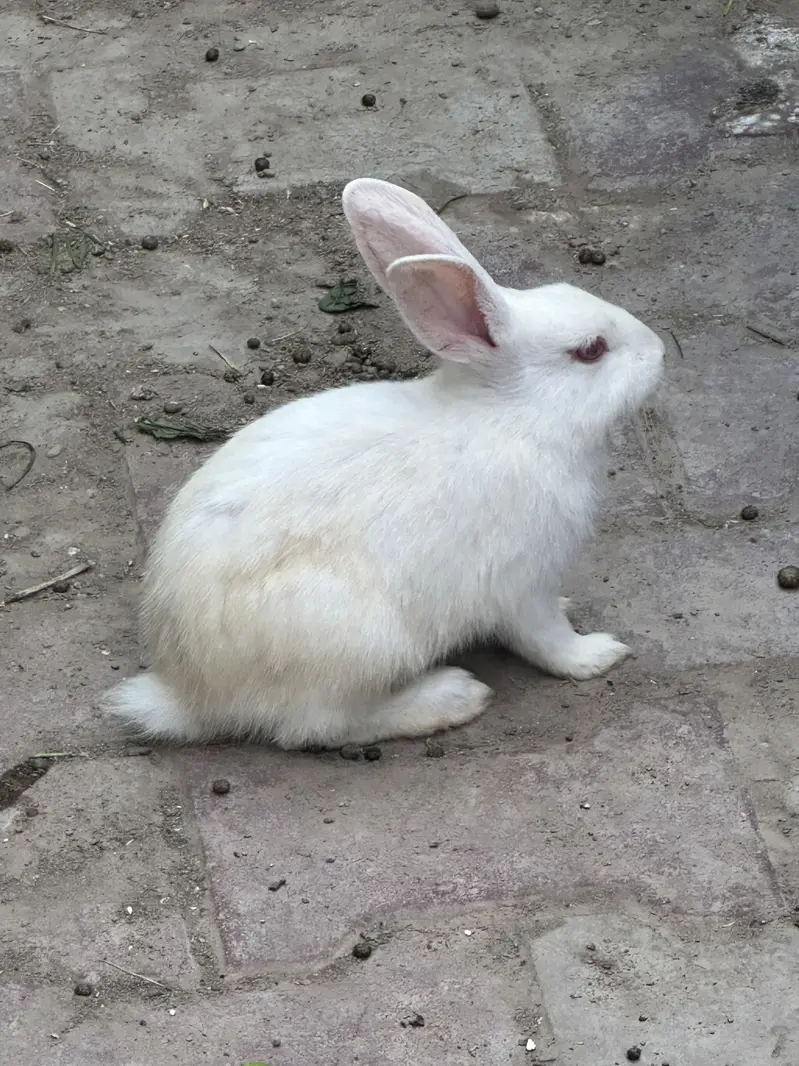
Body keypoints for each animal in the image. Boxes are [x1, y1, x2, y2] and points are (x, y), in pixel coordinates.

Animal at [105, 177, 664, 749]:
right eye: (591, 350)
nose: (660, 349)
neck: (516, 418)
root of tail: (189, 695)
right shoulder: (522, 582)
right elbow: (547, 640)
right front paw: (598, 655)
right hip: (361, 644)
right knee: (318, 727)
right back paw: (452, 697)